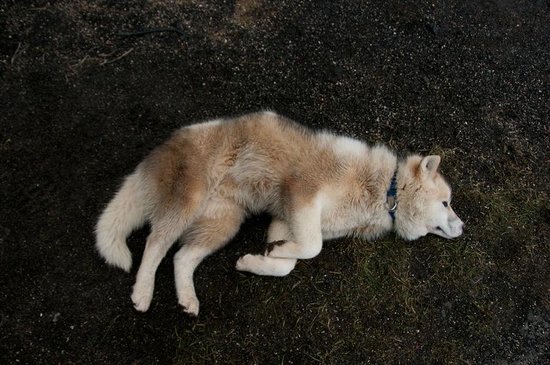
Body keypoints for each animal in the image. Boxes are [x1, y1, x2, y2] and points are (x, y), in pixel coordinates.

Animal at [96, 109, 466, 314]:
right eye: (446, 203)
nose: (463, 227)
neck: (385, 189)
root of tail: (171, 142)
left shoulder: (285, 219)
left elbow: (289, 262)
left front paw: (259, 259)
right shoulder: (300, 193)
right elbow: (312, 248)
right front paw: (271, 254)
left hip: (223, 224)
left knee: (181, 257)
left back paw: (188, 299)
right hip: (190, 202)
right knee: (155, 244)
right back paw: (142, 292)